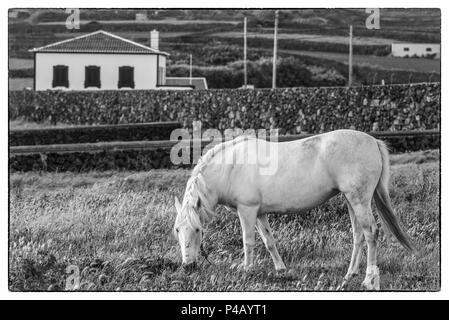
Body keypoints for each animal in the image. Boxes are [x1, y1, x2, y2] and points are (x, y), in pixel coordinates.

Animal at [173, 129, 414, 290]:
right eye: (177, 230)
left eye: (197, 230)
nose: (188, 266)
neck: (231, 167)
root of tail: (373, 141)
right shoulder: (260, 213)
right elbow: (269, 241)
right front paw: (281, 269)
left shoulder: (247, 211)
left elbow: (248, 241)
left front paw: (247, 269)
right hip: (351, 200)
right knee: (358, 236)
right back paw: (349, 275)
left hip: (359, 200)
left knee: (371, 233)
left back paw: (368, 280)